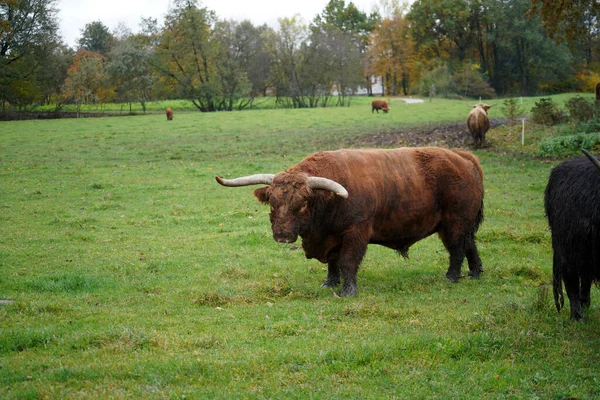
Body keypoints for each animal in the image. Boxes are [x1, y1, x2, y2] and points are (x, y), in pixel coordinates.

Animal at [218, 147, 486, 296]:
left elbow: (347, 262)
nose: (282, 236)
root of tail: (462, 157)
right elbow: (333, 264)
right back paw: (475, 273)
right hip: (459, 224)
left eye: (302, 203)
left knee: (457, 249)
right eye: (273, 202)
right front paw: (329, 283)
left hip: (455, 222)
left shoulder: (356, 232)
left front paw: (348, 291)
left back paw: (452, 277)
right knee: (470, 245)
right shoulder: (331, 238)